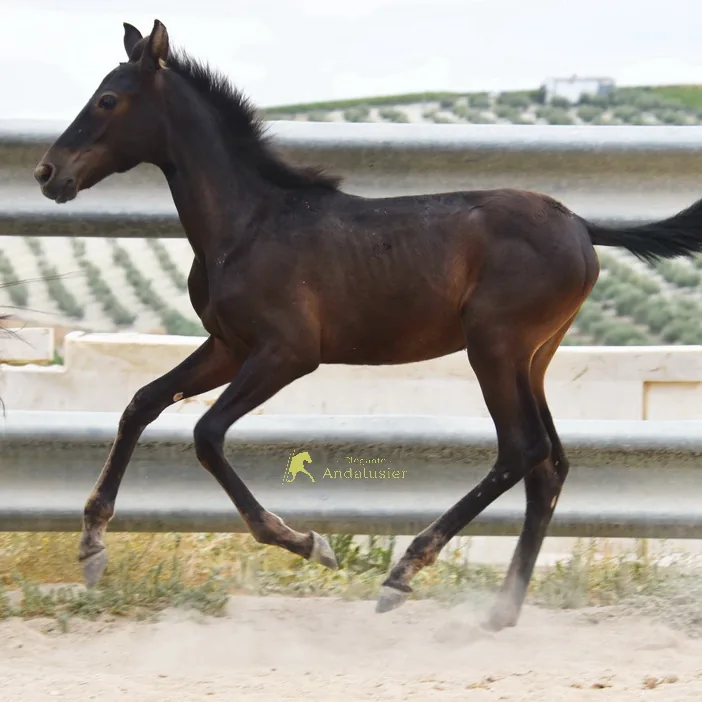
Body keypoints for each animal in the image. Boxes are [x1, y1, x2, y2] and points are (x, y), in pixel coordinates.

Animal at [33, 19, 702, 631]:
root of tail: (582, 225)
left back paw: (404, 574)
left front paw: (308, 542)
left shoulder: (287, 353)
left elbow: (206, 434)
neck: (248, 223)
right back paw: (500, 611)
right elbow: (140, 404)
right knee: (549, 466)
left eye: (107, 99)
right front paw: (91, 547)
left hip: (493, 346)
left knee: (521, 450)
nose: (46, 173)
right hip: (532, 358)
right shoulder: (228, 346)